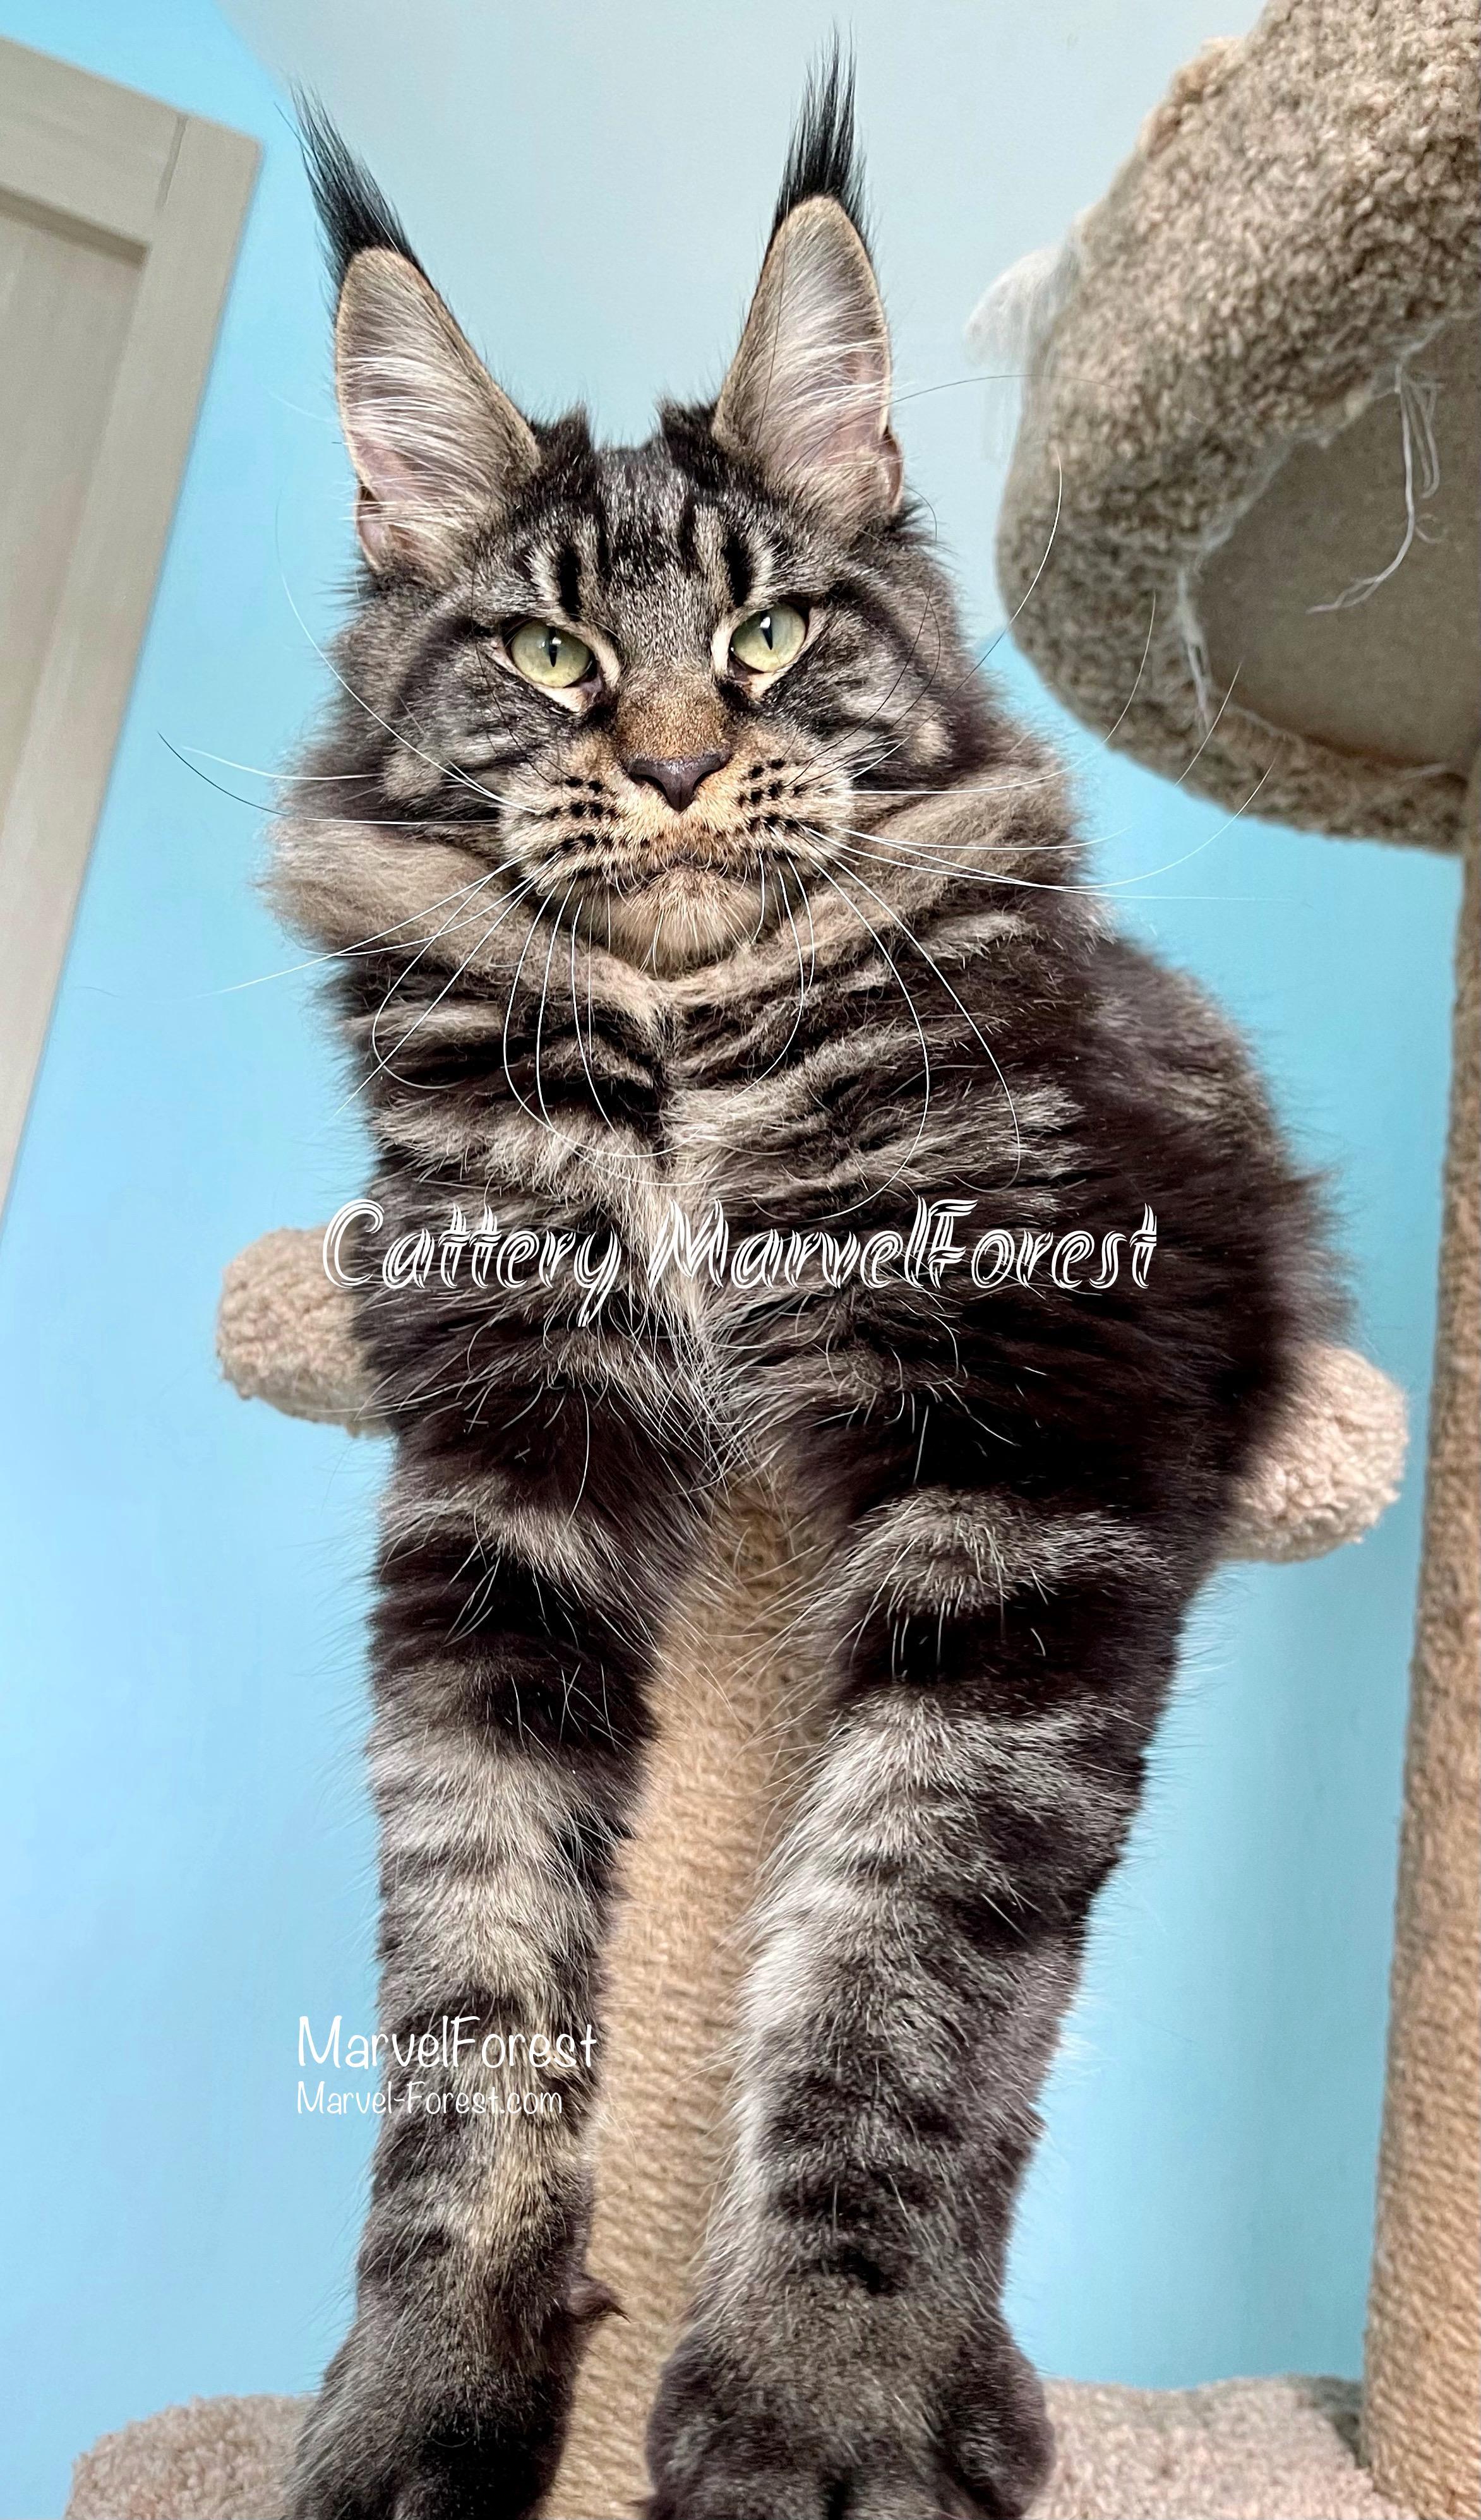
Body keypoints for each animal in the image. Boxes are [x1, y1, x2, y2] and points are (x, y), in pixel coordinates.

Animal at [275, 59, 1332, 2520]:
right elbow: (468, 1969)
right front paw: (421, 2391)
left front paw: (821, 2399)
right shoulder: (498, 1458)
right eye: (550, 654)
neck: (682, 1083)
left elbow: (902, 1953)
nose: (670, 764)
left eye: (766, 638)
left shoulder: (1038, 1435)